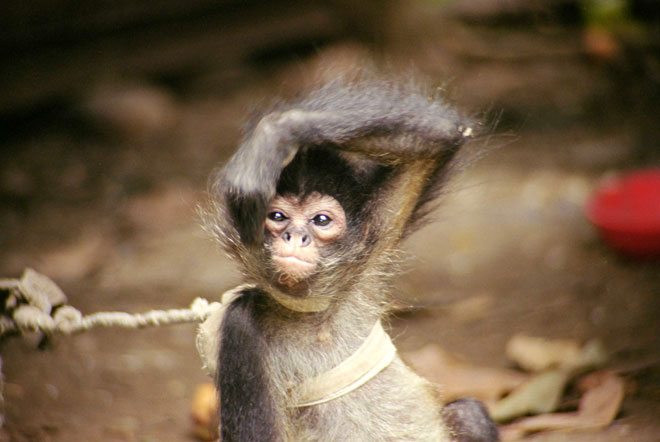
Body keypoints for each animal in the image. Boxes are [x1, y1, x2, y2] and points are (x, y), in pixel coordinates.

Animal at [201, 75, 499, 442]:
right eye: (278, 217)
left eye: (321, 220)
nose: (294, 237)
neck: (314, 318)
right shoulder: (239, 324)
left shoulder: (373, 238)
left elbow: (442, 134)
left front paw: (274, 134)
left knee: (468, 412)